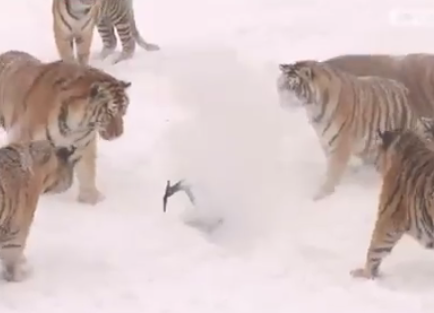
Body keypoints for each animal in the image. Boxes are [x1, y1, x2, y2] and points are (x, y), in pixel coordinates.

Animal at [0, 49, 131, 205]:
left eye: (124, 111)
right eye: (110, 113)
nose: (119, 134)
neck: (76, 126)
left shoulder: (84, 145)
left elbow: (87, 172)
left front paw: (91, 199)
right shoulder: (24, 138)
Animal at [278, 60, 428, 201]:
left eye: (293, 88)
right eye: (280, 87)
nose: (282, 102)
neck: (314, 109)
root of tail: (406, 90)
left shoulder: (340, 145)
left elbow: (333, 172)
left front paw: (321, 196)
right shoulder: (326, 142)